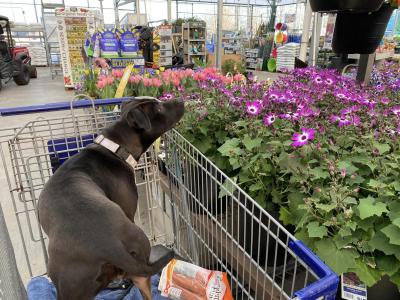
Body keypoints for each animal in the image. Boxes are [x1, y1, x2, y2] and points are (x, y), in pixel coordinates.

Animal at [38, 98, 185, 300]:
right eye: (159, 107)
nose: (182, 100)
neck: (115, 148)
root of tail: (109, 245)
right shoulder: (128, 209)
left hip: (71, 288)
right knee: (142, 282)